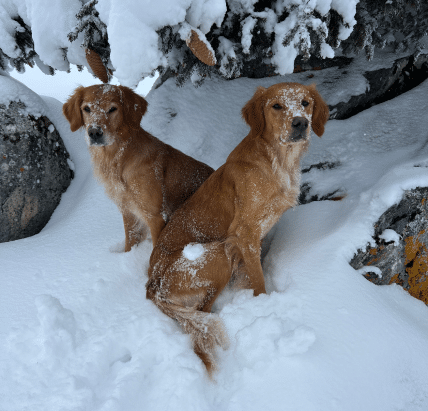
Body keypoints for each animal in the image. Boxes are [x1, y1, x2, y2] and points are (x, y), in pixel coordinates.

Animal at [63, 85, 214, 249]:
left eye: (112, 109)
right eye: (86, 108)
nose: (95, 132)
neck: (117, 159)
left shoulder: (155, 216)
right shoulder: (128, 211)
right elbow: (130, 241)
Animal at [145, 82, 330, 374]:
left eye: (305, 102)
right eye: (276, 106)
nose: (301, 123)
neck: (276, 161)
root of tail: (152, 286)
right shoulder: (244, 234)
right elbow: (259, 279)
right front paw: (264, 305)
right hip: (217, 253)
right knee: (203, 311)